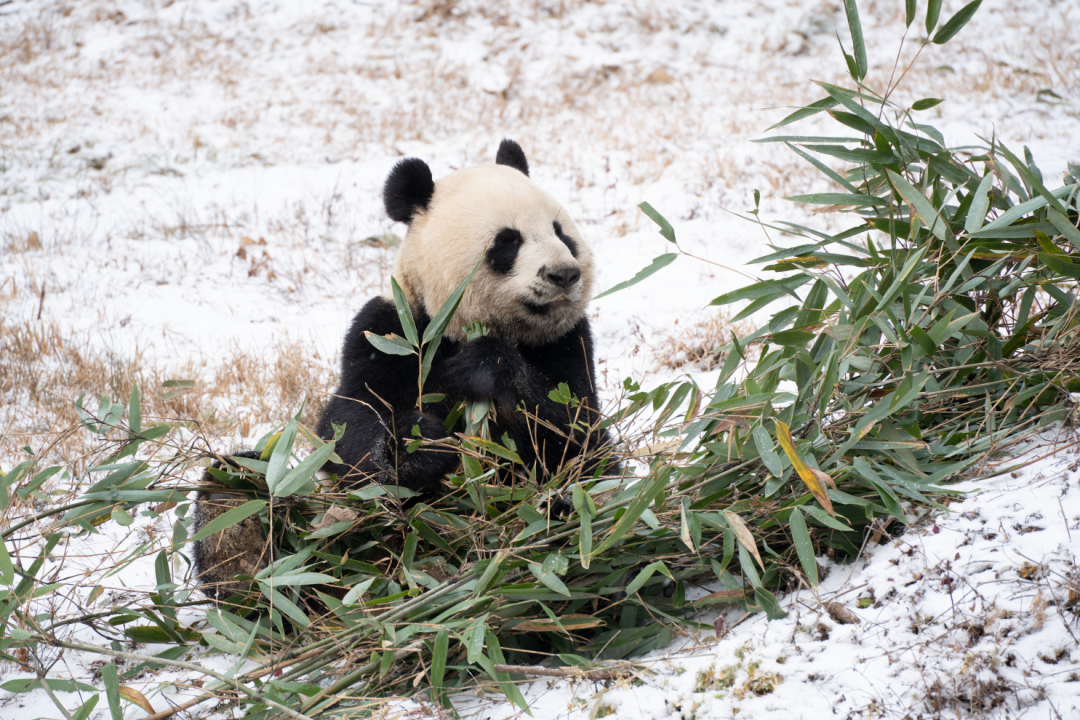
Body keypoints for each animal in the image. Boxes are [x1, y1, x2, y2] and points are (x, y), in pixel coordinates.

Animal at [191, 140, 613, 604]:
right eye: (508, 241)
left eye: (561, 232)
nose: (564, 273)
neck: (462, 327)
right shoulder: (388, 329)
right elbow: (348, 424)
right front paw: (417, 444)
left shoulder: (568, 341)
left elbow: (577, 434)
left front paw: (487, 367)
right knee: (243, 495)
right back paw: (246, 557)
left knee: (585, 506)